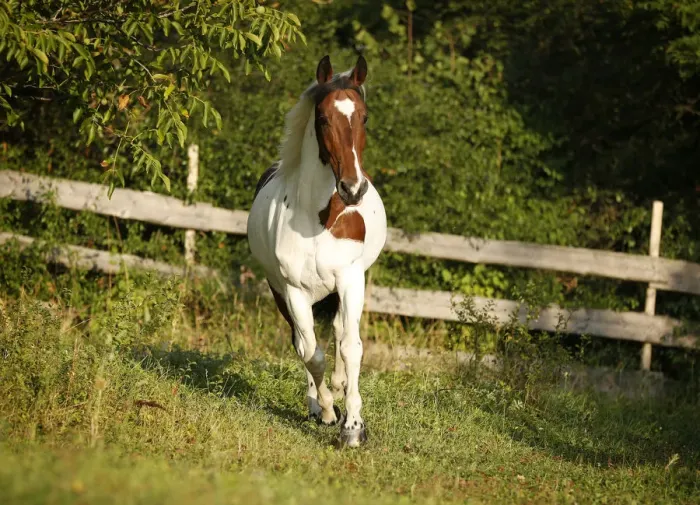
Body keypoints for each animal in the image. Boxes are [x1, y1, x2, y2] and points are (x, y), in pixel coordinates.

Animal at [246, 55, 387, 447]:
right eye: (323, 118)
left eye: (364, 117)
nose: (353, 189)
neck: (317, 218)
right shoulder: (293, 291)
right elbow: (312, 353)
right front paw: (327, 411)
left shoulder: (351, 279)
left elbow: (351, 346)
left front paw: (353, 427)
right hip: (283, 294)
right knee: (302, 343)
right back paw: (318, 404)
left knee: (338, 331)